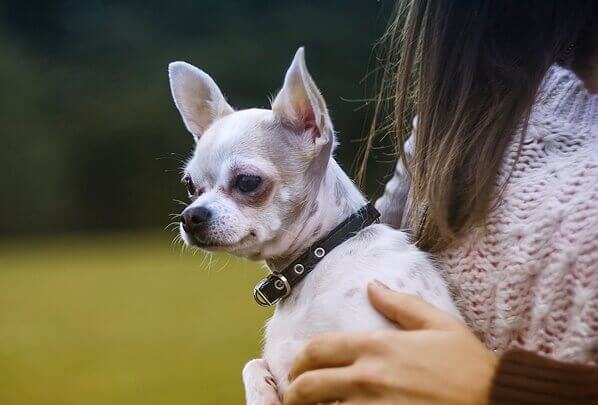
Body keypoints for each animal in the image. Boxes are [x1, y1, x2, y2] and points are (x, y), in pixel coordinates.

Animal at [169, 49, 464, 402]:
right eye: (189, 185)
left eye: (248, 181)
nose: (191, 216)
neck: (320, 255)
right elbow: (252, 365)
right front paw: (261, 393)